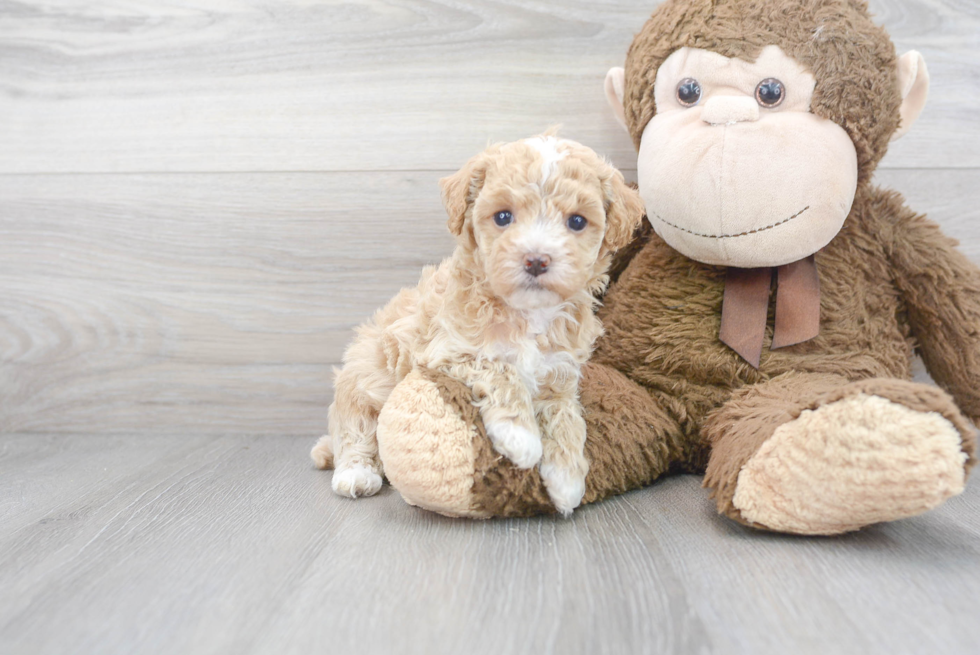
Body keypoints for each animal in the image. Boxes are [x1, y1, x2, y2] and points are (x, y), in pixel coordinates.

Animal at [312, 135, 644, 516]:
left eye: (577, 221)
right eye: (503, 216)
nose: (536, 259)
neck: (527, 313)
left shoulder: (559, 373)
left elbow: (565, 416)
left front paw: (567, 479)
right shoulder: (449, 350)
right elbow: (501, 369)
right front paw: (521, 436)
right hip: (363, 376)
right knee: (354, 430)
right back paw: (356, 474)